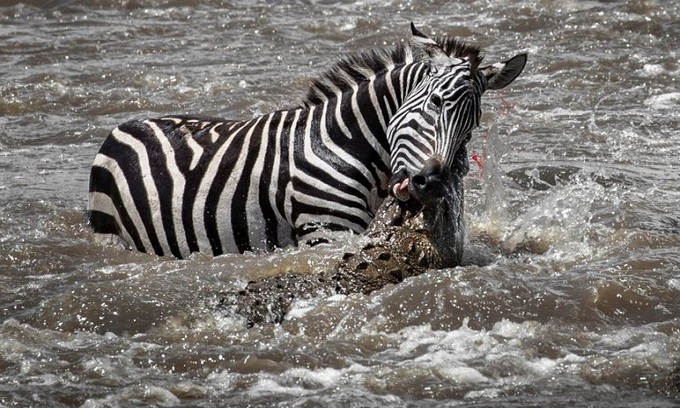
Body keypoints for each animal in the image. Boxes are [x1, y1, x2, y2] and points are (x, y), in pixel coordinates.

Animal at [89, 23, 524, 258]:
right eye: (435, 102)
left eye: (472, 126)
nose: (431, 184)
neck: (344, 143)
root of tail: (128, 123)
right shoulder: (326, 232)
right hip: (109, 233)